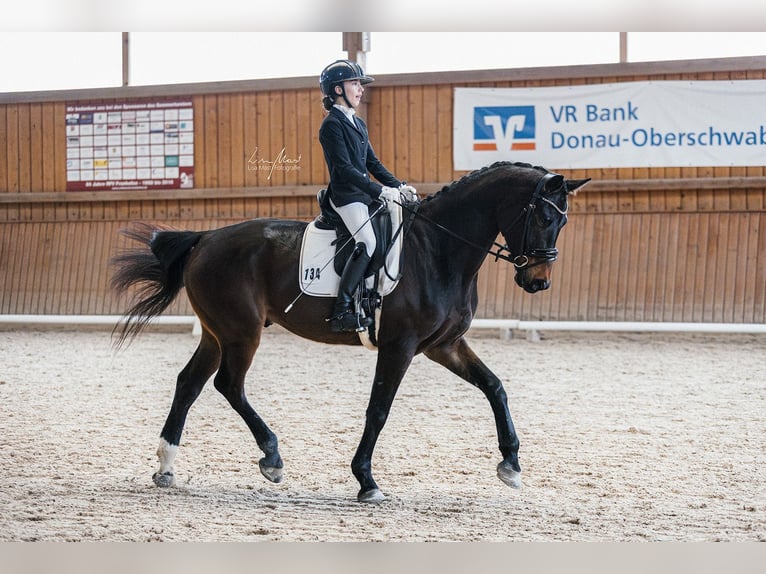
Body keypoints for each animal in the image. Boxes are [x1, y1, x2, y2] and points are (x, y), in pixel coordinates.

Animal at [110, 161, 590, 503]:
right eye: (543, 218)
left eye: (563, 222)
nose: (538, 282)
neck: (439, 250)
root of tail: (206, 238)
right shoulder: (400, 346)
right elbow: (378, 410)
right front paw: (366, 481)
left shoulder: (444, 346)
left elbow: (495, 386)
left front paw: (511, 464)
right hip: (241, 332)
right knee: (228, 384)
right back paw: (272, 457)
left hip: (217, 333)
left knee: (189, 383)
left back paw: (167, 467)